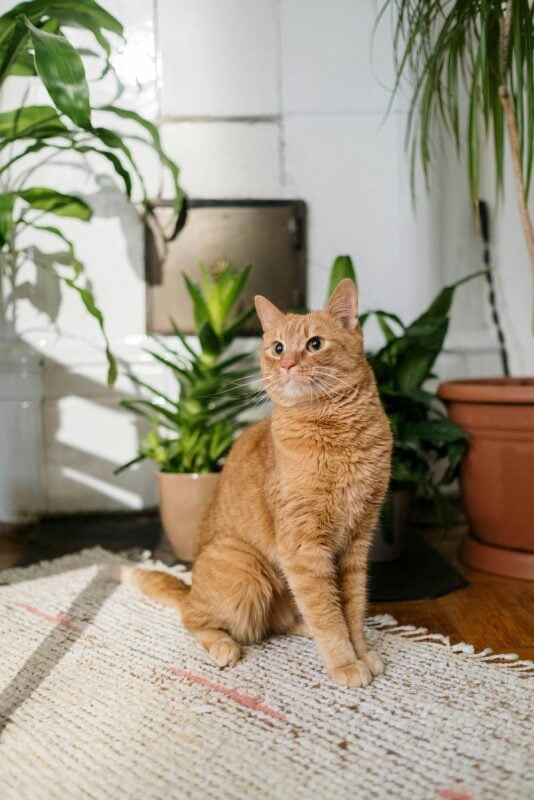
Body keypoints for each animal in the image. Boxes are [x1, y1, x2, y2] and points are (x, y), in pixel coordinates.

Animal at [121, 280, 394, 688]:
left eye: (315, 344)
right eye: (278, 347)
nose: (287, 363)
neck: (337, 435)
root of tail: (192, 587)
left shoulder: (357, 543)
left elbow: (351, 608)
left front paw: (359, 651)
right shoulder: (304, 550)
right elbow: (329, 615)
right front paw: (345, 663)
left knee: (279, 622)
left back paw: (300, 627)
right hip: (246, 571)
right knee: (195, 618)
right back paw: (224, 646)